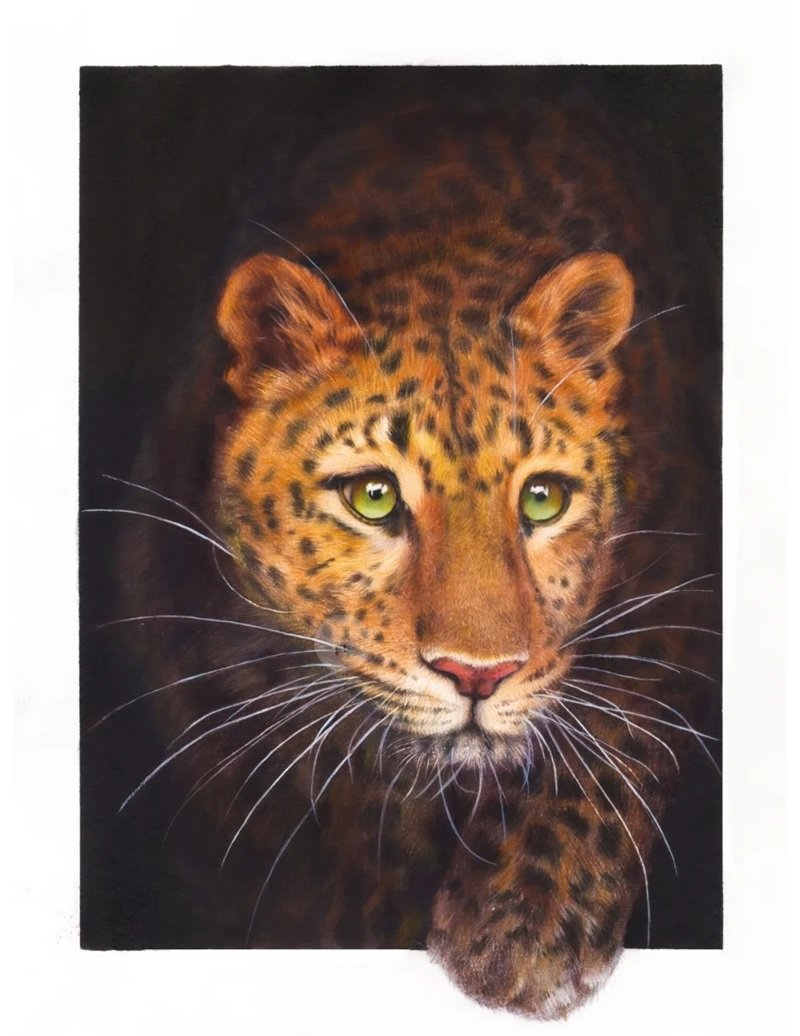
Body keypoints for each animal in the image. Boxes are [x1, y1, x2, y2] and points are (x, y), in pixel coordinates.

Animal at [97, 93, 721, 1019]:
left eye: (543, 499)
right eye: (372, 497)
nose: (478, 677)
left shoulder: (680, 589)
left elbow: (609, 744)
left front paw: (523, 937)